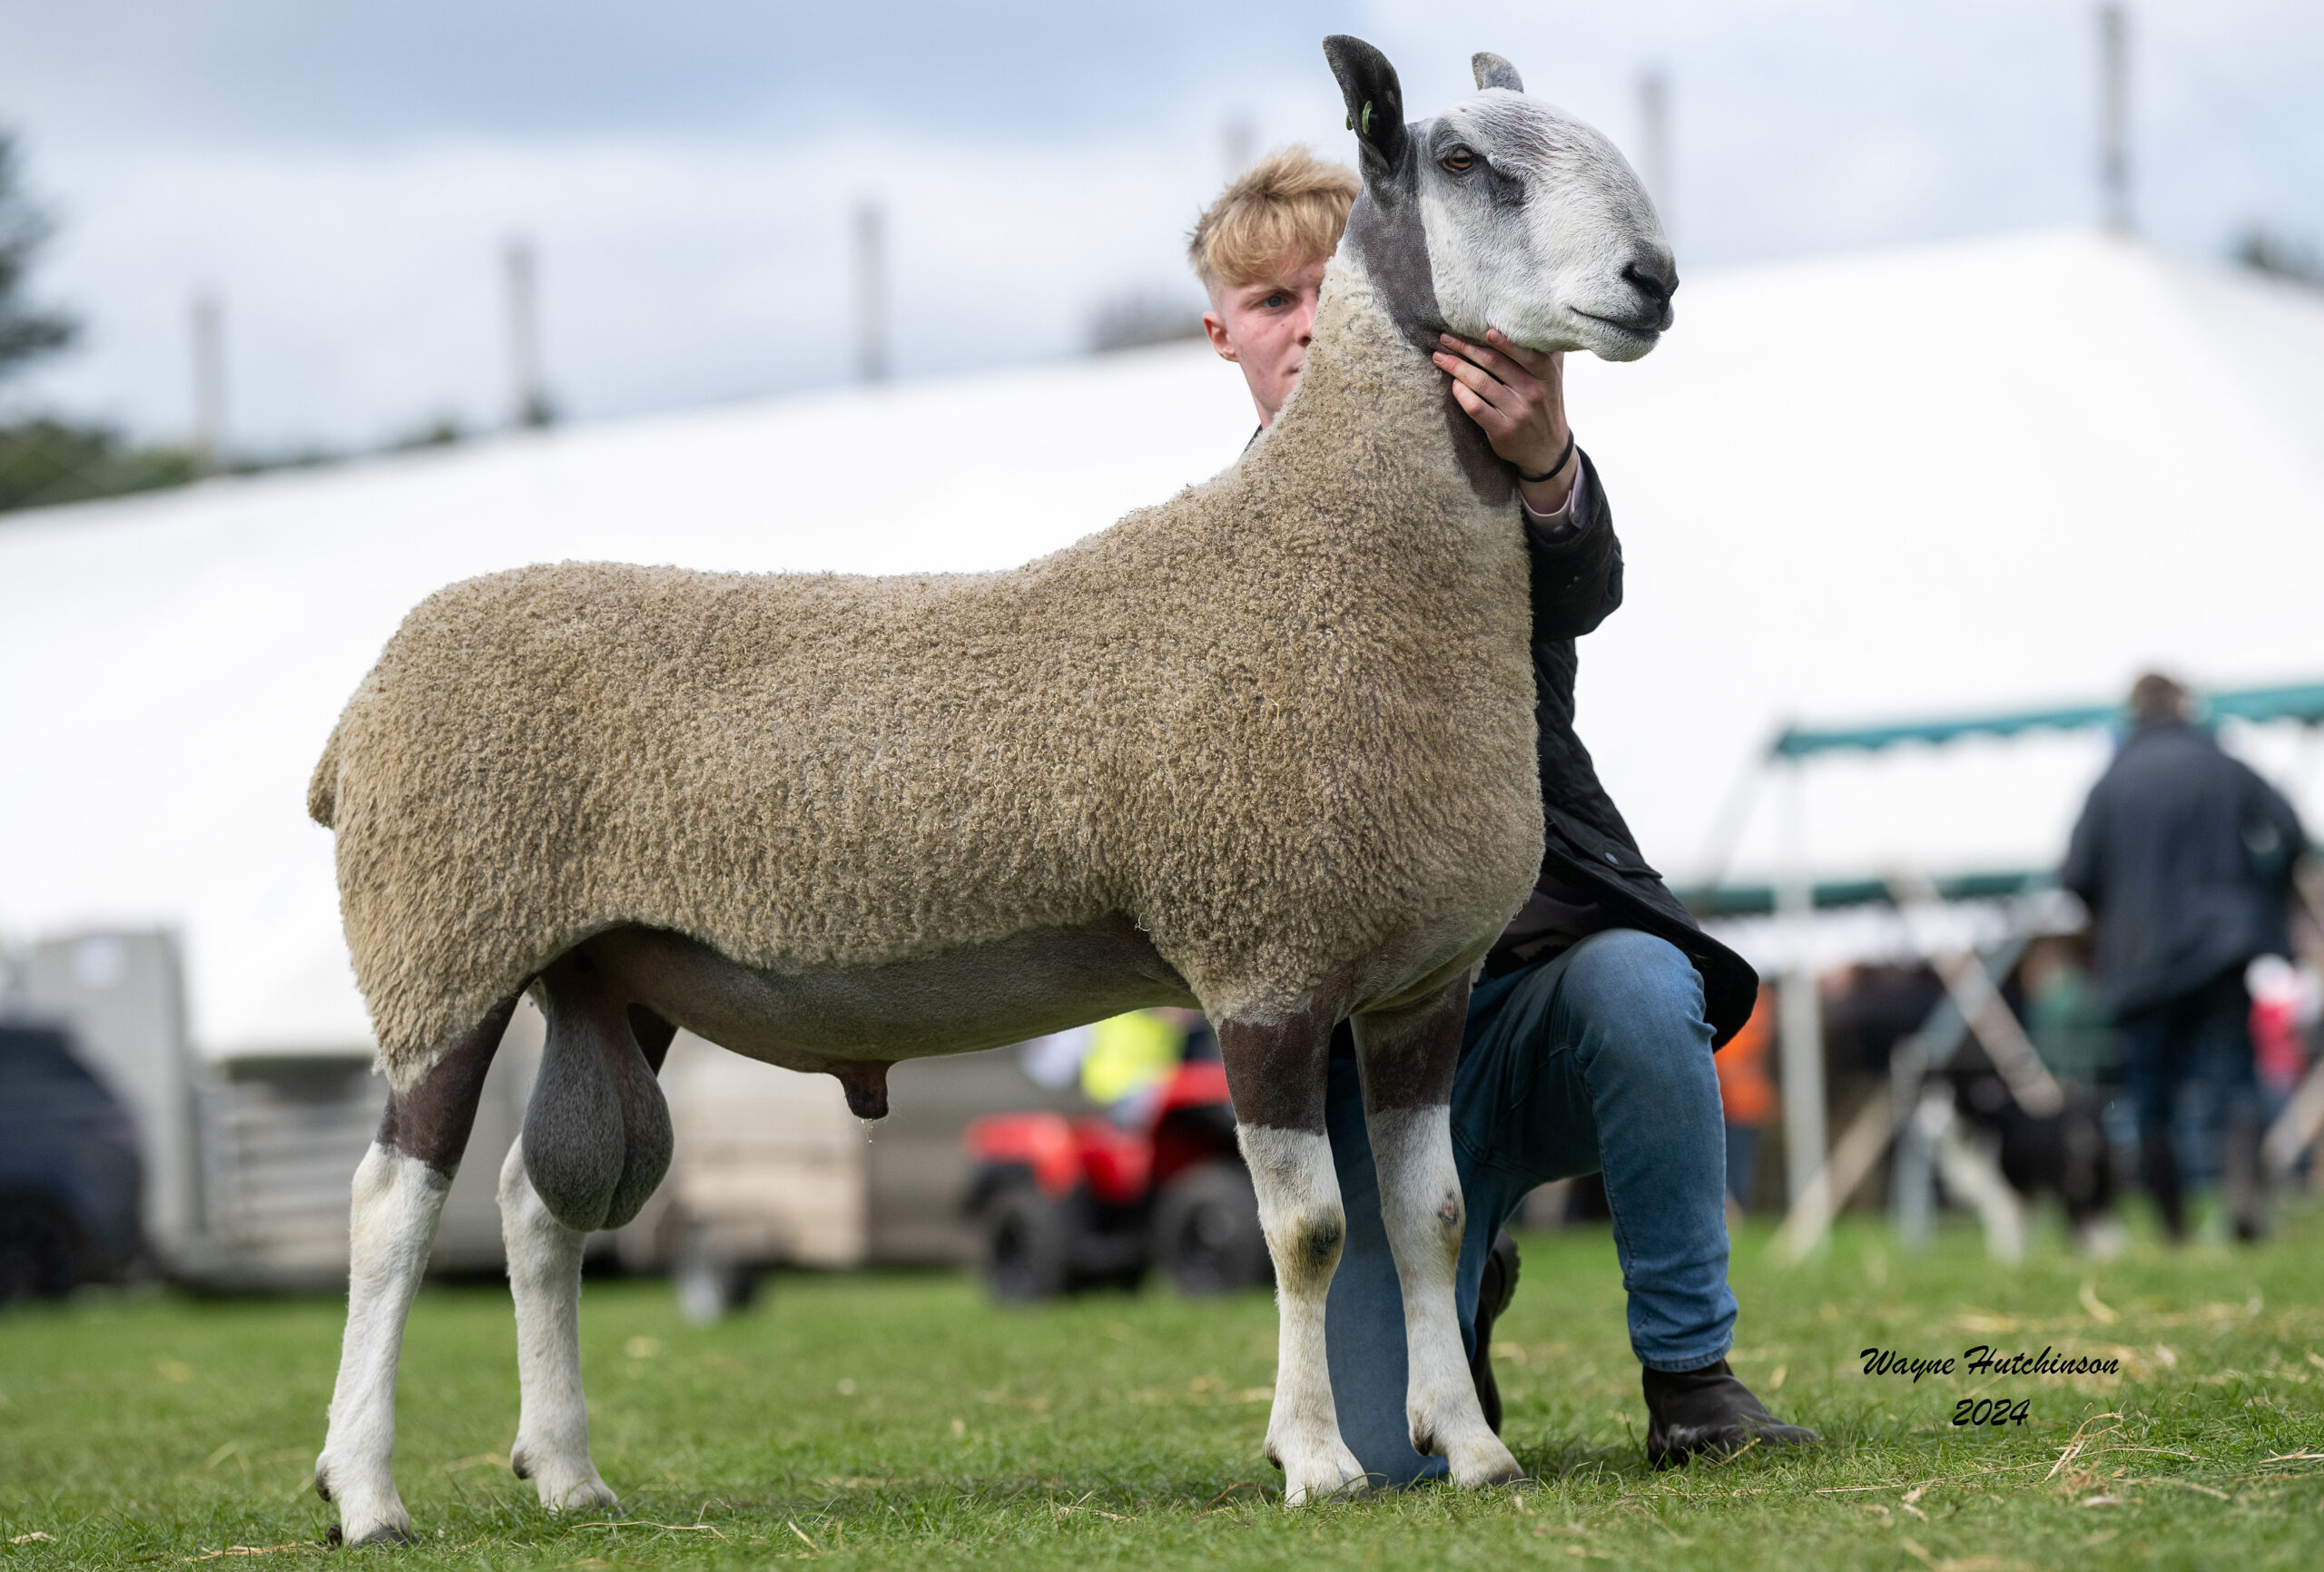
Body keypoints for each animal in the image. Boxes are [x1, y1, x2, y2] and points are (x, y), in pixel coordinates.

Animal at [318, 39, 1682, 1541]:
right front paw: (1319, 1460)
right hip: (444, 944)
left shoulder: (1418, 983)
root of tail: (365, 702)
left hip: (606, 967)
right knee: (391, 1204)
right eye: (1467, 166)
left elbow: (1428, 1218)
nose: (1653, 280)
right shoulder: (1260, 955)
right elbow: (1310, 1230)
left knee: (536, 1205)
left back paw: (566, 1474)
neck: (1327, 550)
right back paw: (365, 1491)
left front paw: (1473, 1447)